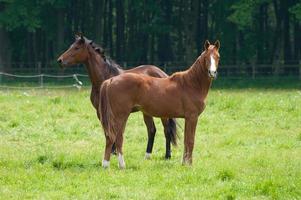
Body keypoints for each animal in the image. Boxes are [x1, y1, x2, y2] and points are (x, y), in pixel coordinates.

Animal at [99, 39, 219, 168]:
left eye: (217, 56)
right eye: (206, 58)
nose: (212, 73)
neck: (191, 84)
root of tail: (111, 80)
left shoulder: (188, 118)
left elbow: (186, 140)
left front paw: (184, 163)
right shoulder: (192, 117)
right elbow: (190, 140)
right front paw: (189, 165)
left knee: (112, 137)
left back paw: (111, 165)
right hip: (120, 116)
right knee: (116, 137)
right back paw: (116, 165)